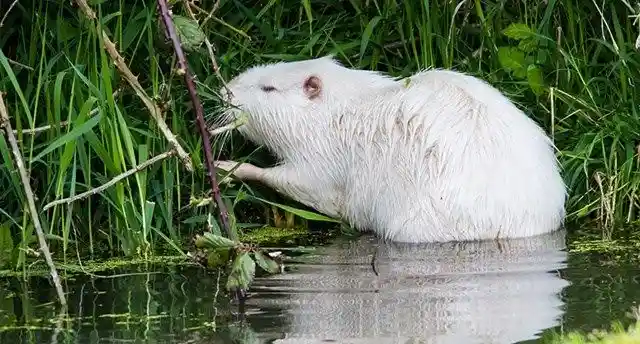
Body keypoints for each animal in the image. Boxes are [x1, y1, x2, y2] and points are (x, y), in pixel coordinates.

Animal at [215, 56, 564, 243]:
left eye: (268, 88)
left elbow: (307, 187)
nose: (223, 90)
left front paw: (227, 167)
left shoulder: (324, 157)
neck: (339, 111)